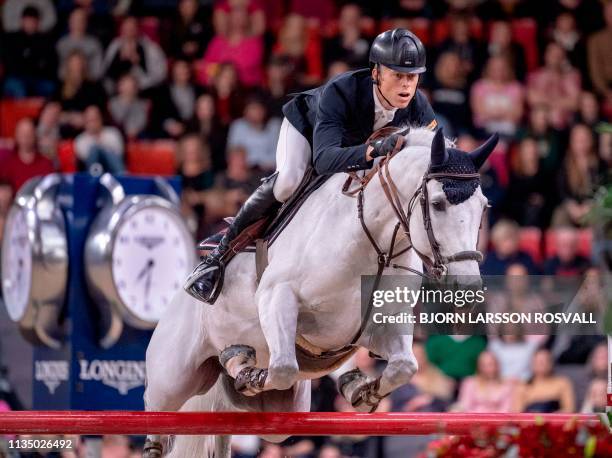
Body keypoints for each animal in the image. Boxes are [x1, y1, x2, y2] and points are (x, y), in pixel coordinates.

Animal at [142, 127, 498, 456]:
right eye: (437, 204)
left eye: (484, 207)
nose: (467, 287)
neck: (374, 245)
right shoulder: (278, 297)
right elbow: (284, 367)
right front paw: (252, 376)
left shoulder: (373, 328)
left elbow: (404, 367)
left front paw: (363, 391)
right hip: (172, 380)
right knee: (157, 416)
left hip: (281, 410)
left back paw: (239, 359)